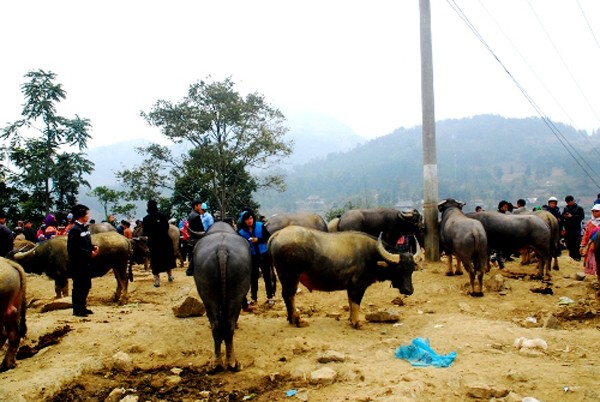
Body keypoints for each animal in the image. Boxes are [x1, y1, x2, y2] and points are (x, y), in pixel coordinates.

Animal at [193, 221, 252, 372]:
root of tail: (222, 249)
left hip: (208, 294)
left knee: (218, 324)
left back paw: (221, 363)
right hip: (233, 294)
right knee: (226, 324)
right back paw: (229, 363)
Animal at [268, 225, 414, 328]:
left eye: (412, 269)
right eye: (400, 269)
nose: (409, 290)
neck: (372, 255)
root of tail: (278, 234)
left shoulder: (351, 288)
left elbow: (350, 303)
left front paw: (350, 319)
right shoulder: (358, 287)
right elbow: (356, 303)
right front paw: (357, 322)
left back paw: (291, 319)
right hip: (290, 276)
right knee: (289, 295)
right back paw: (297, 320)